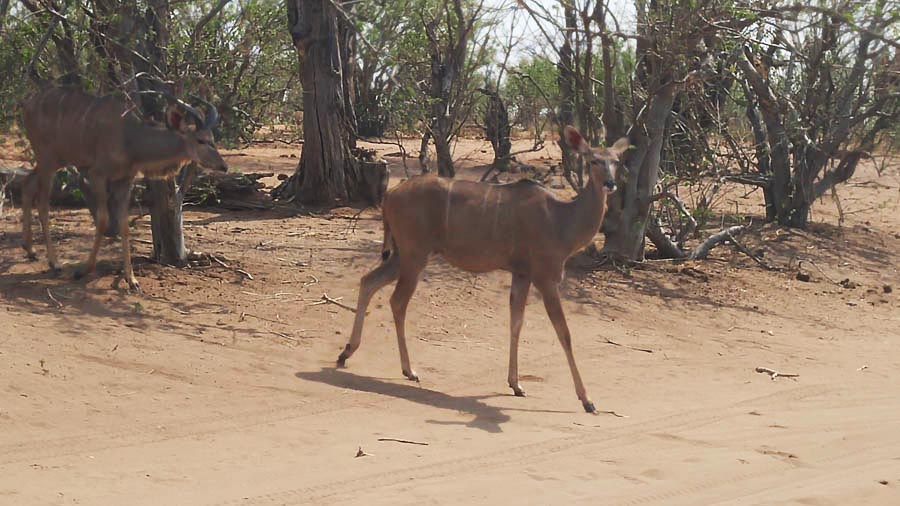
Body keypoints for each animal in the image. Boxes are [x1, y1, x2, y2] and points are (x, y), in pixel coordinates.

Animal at [20, 86, 227, 288]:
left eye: (213, 139)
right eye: (200, 140)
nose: (224, 166)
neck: (131, 139)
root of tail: (29, 103)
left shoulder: (125, 180)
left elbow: (124, 225)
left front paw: (132, 280)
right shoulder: (97, 175)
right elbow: (103, 220)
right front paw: (83, 270)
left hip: (55, 161)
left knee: (28, 184)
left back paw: (30, 250)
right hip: (47, 159)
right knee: (43, 204)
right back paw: (54, 263)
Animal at [340, 127, 632, 416]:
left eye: (616, 161)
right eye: (593, 160)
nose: (610, 184)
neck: (561, 219)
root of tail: (389, 196)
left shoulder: (522, 274)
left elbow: (516, 322)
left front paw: (516, 385)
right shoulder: (545, 277)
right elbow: (564, 333)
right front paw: (587, 400)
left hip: (403, 255)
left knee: (368, 281)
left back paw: (347, 353)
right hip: (414, 256)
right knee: (397, 301)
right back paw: (409, 370)